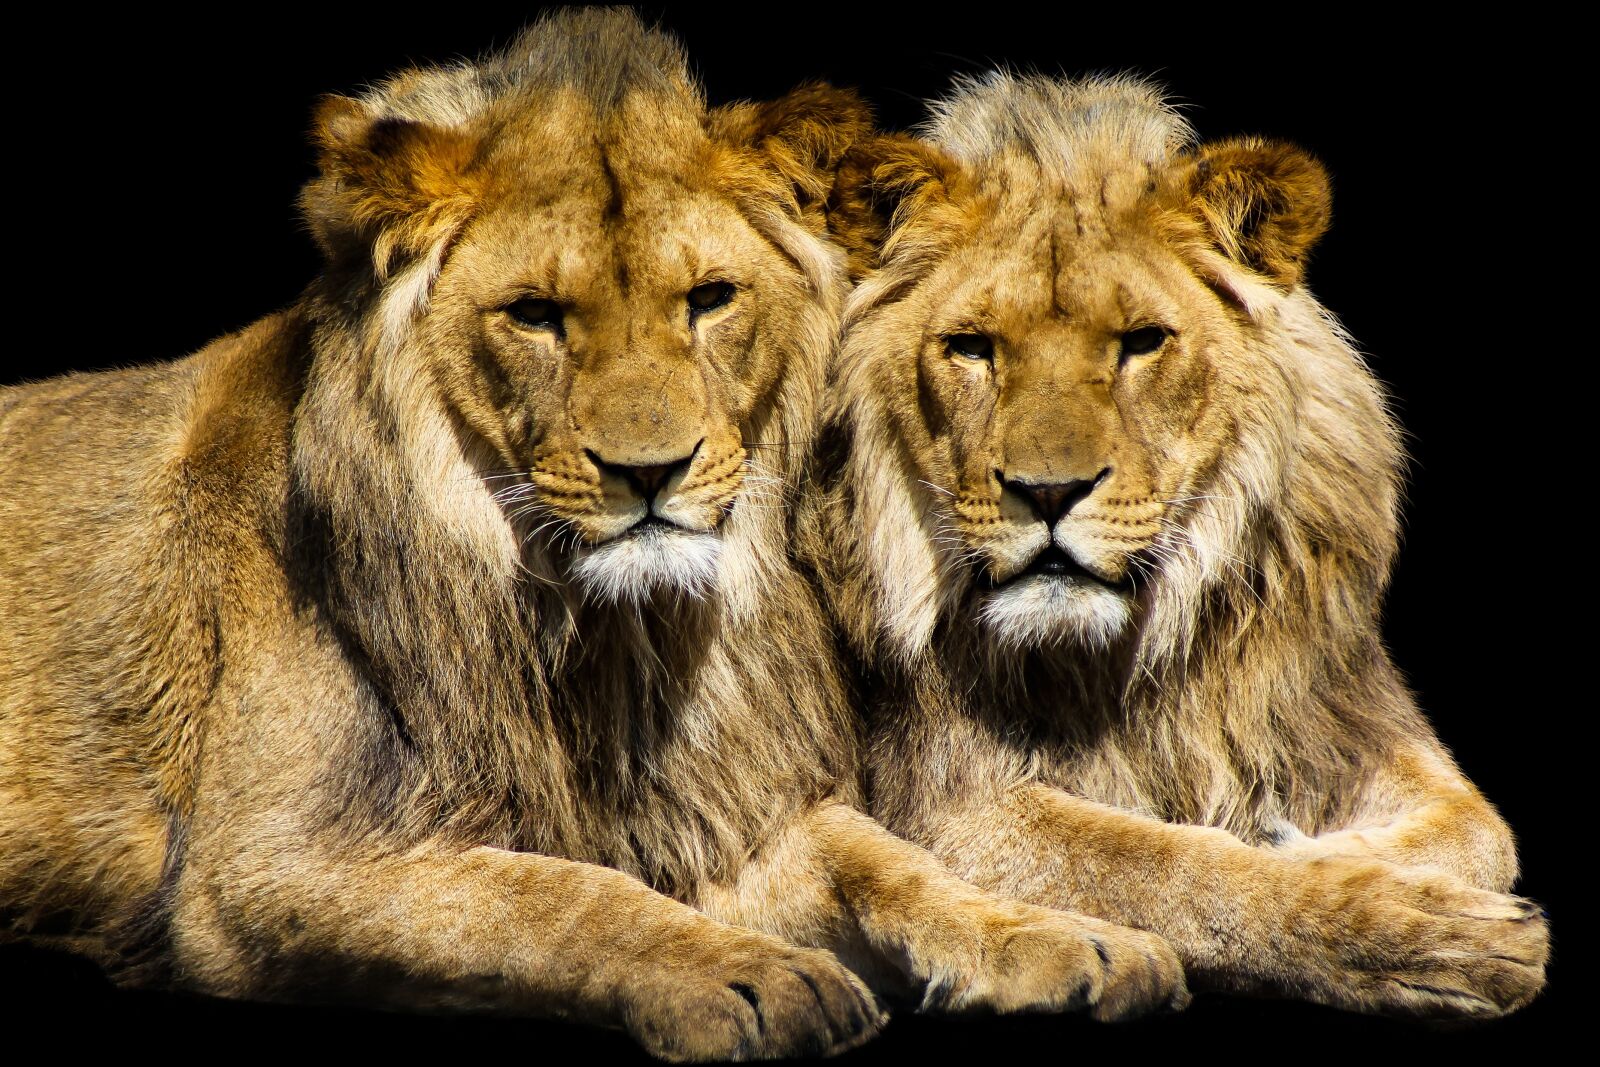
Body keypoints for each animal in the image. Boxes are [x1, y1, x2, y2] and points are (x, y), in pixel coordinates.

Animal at [0, 14, 1197, 1058]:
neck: (612, 635)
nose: (649, 473)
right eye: (535, 314)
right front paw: (747, 973)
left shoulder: (711, 811)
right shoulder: (260, 868)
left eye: (708, 299)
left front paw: (1060, 936)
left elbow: (879, 855)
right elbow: (548, 892)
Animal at [801, 72, 1550, 1019]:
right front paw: (1421, 929)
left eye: (1142, 342)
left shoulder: (1336, 712)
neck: (1124, 654)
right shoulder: (948, 803)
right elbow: (1166, 861)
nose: (1048, 492)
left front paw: (1328, 849)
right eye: (971, 348)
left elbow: (1482, 830)